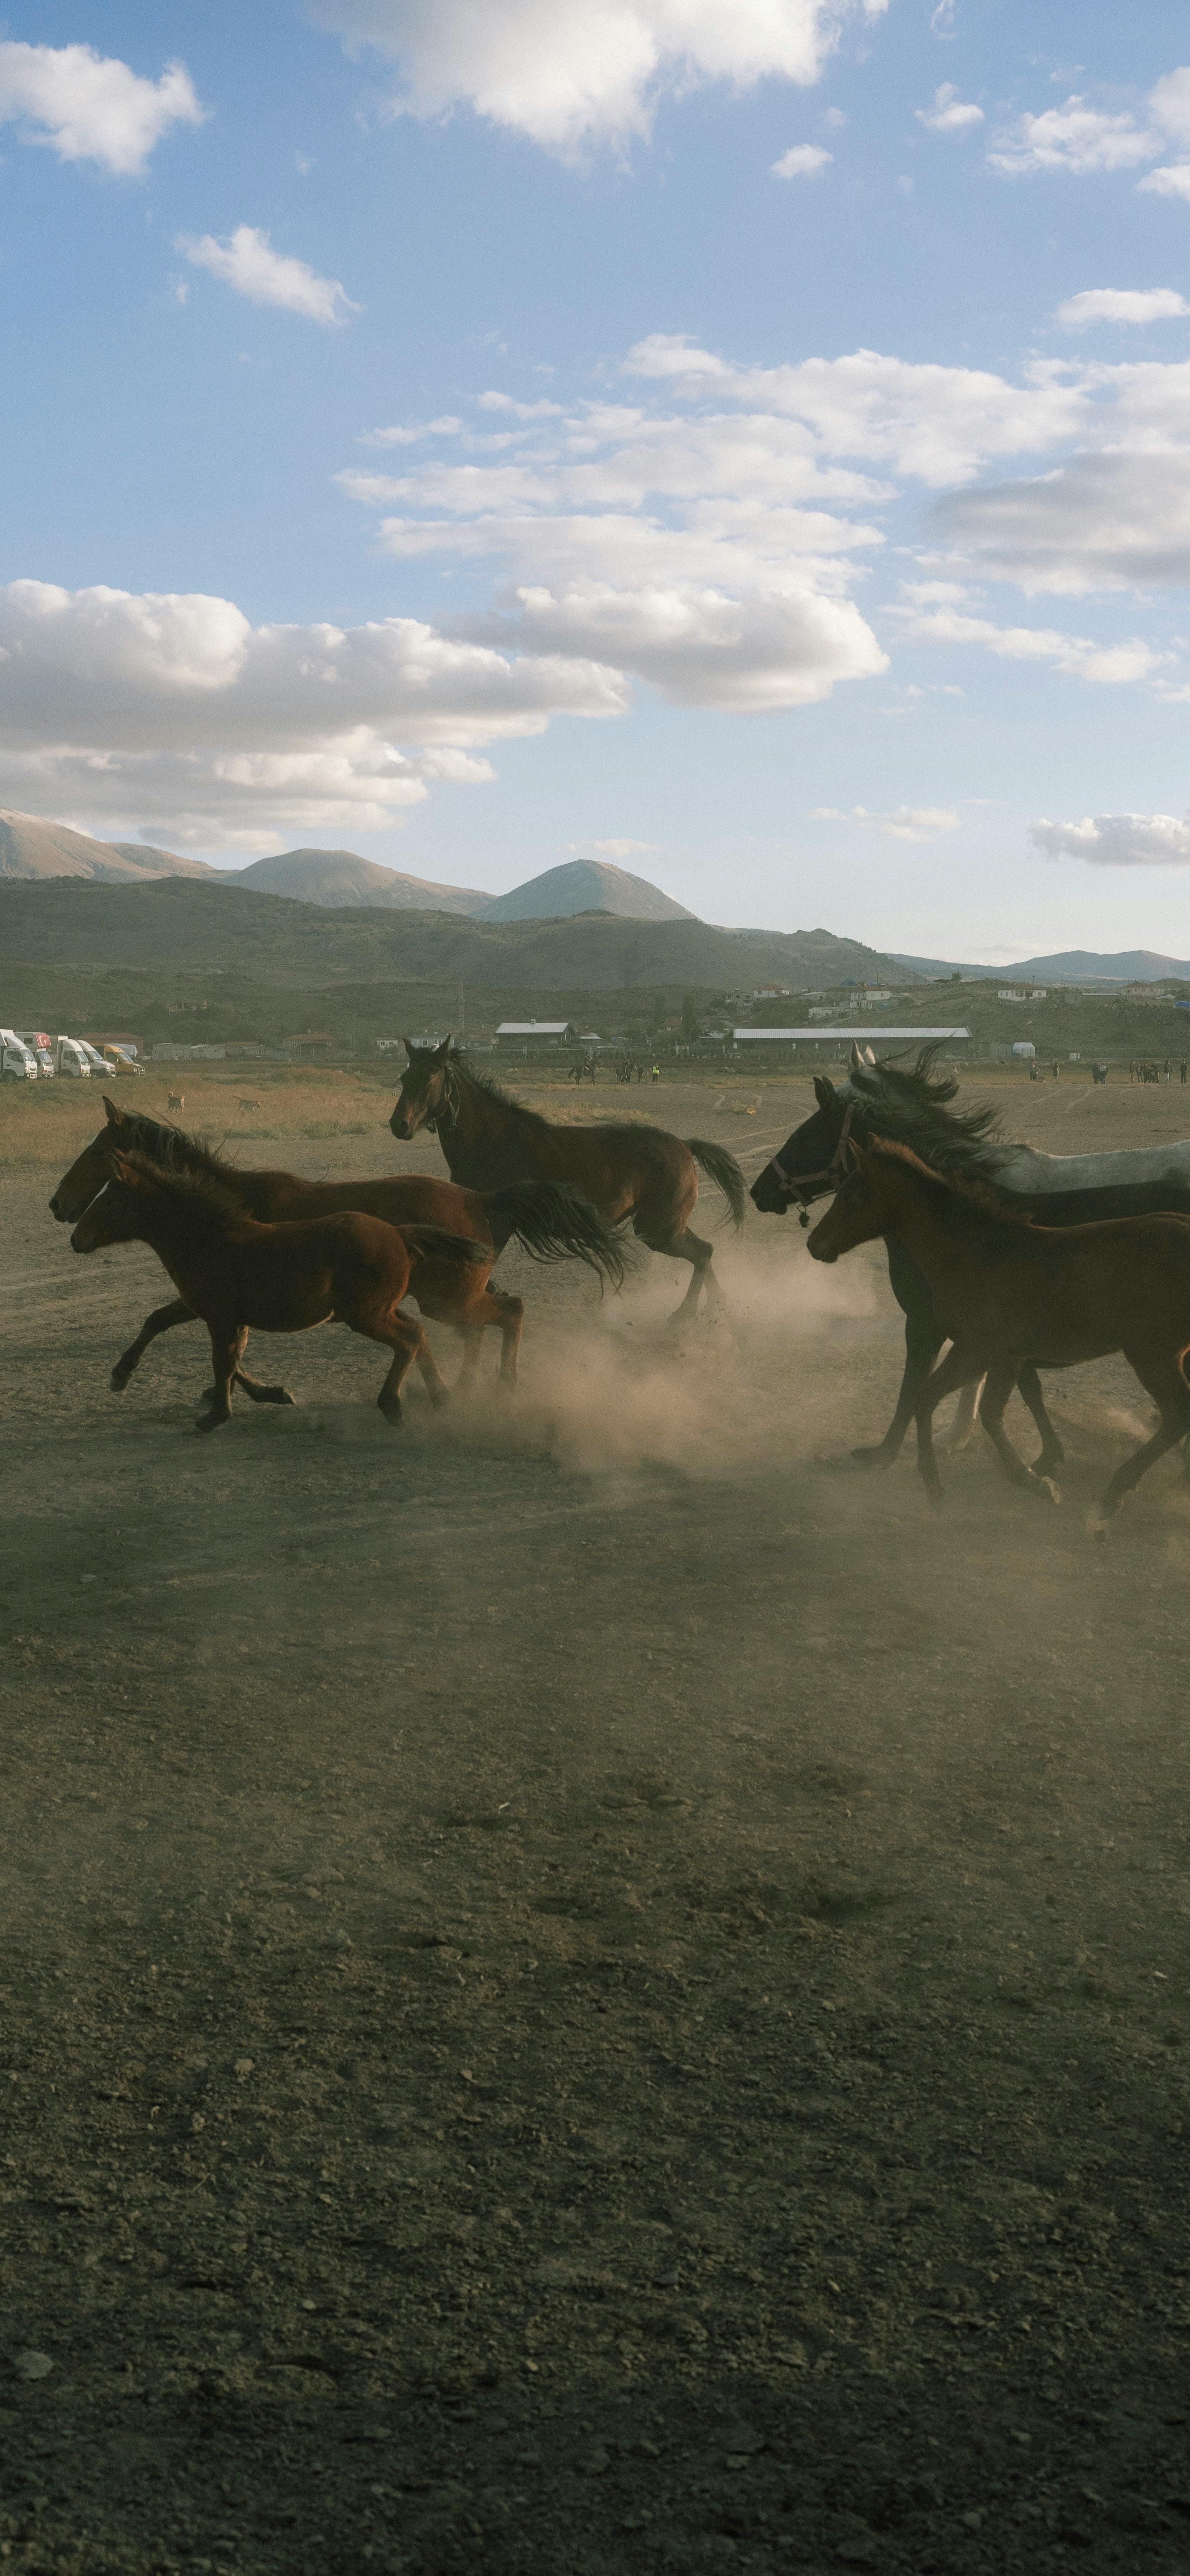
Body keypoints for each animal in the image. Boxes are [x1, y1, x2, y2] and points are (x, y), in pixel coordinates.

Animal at [51, 1097, 630, 1397]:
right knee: (485, 1321)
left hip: (445, 1298)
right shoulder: (223, 1295)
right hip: (451, 1294)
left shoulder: (226, 1293)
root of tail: (482, 1198)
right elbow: (173, 1323)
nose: (59, 1205)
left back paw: (500, 1382)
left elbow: (190, 1331)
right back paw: (462, 1384)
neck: (231, 1204)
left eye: (100, 1152)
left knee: (507, 1312)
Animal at [71, 1150, 491, 1433]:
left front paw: (215, 1416)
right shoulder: (213, 1311)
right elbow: (184, 1334)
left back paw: (392, 1405)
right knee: (416, 1333)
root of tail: (400, 1235)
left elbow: (223, 1361)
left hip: (365, 1315)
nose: (76, 1239)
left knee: (407, 1340)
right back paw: (440, 1395)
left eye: (110, 1199)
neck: (208, 1239)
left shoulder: (220, 1315)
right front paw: (121, 1374)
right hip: (379, 1309)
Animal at [389, 1037, 745, 1318]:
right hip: (665, 1225)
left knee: (702, 1253)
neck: (492, 1140)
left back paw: (684, 1315)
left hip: (658, 1229)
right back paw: (717, 1305)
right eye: (404, 1076)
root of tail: (685, 1145)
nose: (398, 1125)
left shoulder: (499, 1220)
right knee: (705, 1252)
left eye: (430, 1076)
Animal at [750, 1043, 1190, 1474]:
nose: (758, 1191)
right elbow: (1012, 1385)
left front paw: (896, 1450)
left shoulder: (928, 1323)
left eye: (806, 1135)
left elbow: (918, 1385)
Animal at [807, 1137, 1190, 1520]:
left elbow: (926, 1397)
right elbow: (992, 1411)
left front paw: (935, 1487)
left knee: (1177, 1415)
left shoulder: (976, 1349)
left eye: (850, 1197)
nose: (813, 1243)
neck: (975, 1253)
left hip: (1152, 1355)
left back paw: (1113, 1495)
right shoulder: (1007, 1355)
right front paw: (1035, 1479)